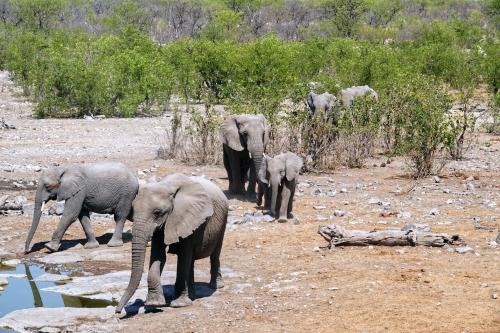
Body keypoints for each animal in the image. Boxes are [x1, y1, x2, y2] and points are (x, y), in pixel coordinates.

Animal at [115, 174, 227, 312]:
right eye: (133, 211)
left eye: (157, 212)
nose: (117, 311)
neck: (167, 186)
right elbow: (158, 256)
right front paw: (154, 303)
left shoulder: (186, 218)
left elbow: (183, 257)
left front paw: (179, 304)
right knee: (191, 261)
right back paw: (192, 296)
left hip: (223, 220)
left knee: (214, 254)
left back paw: (215, 286)